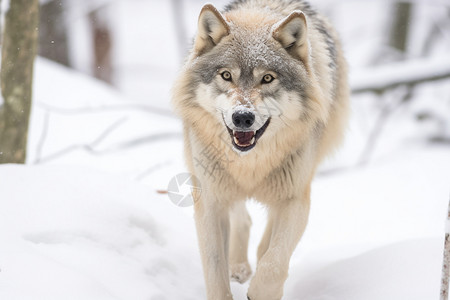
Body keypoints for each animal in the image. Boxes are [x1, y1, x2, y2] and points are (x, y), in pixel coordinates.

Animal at [171, 1, 350, 298]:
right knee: (243, 220)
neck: (251, 163)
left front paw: (261, 291)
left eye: (267, 78)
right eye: (226, 75)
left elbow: (274, 261)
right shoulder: (210, 200)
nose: (242, 117)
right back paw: (238, 269)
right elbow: (215, 269)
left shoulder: (295, 199)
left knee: (265, 242)